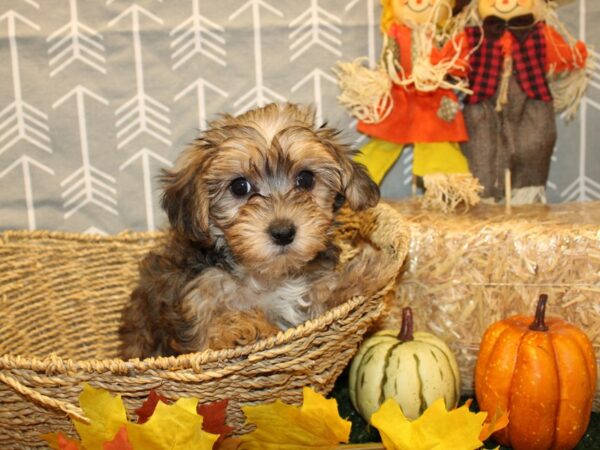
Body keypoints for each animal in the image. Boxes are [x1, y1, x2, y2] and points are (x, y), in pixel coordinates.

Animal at [118, 103, 390, 358]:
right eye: (240, 186)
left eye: (305, 179)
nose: (283, 232)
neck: (269, 277)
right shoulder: (197, 306)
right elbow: (216, 331)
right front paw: (245, 328)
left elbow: (324, 295)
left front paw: (365, 270)